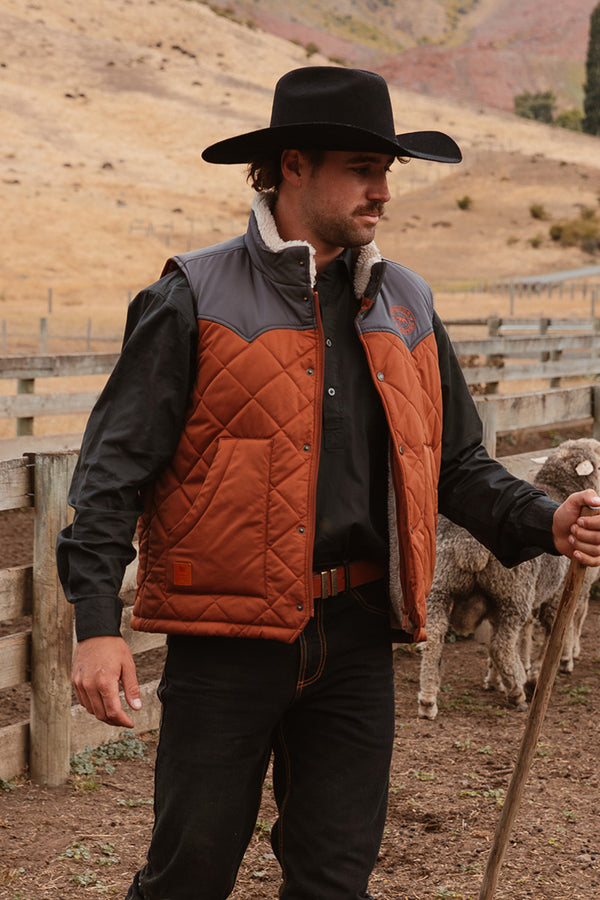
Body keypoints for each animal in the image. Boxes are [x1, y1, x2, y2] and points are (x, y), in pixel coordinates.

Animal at [417, 438, 600, 721]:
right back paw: (517, 694)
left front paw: (496, 679)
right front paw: (546, 669)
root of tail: (469, 543)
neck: (561, 489)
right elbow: (560, 630)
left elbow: (524, 634)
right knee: (500, 645)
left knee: (435, 637)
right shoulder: (562, 594)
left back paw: (428, 700)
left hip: (443, 586)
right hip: (513, 593)